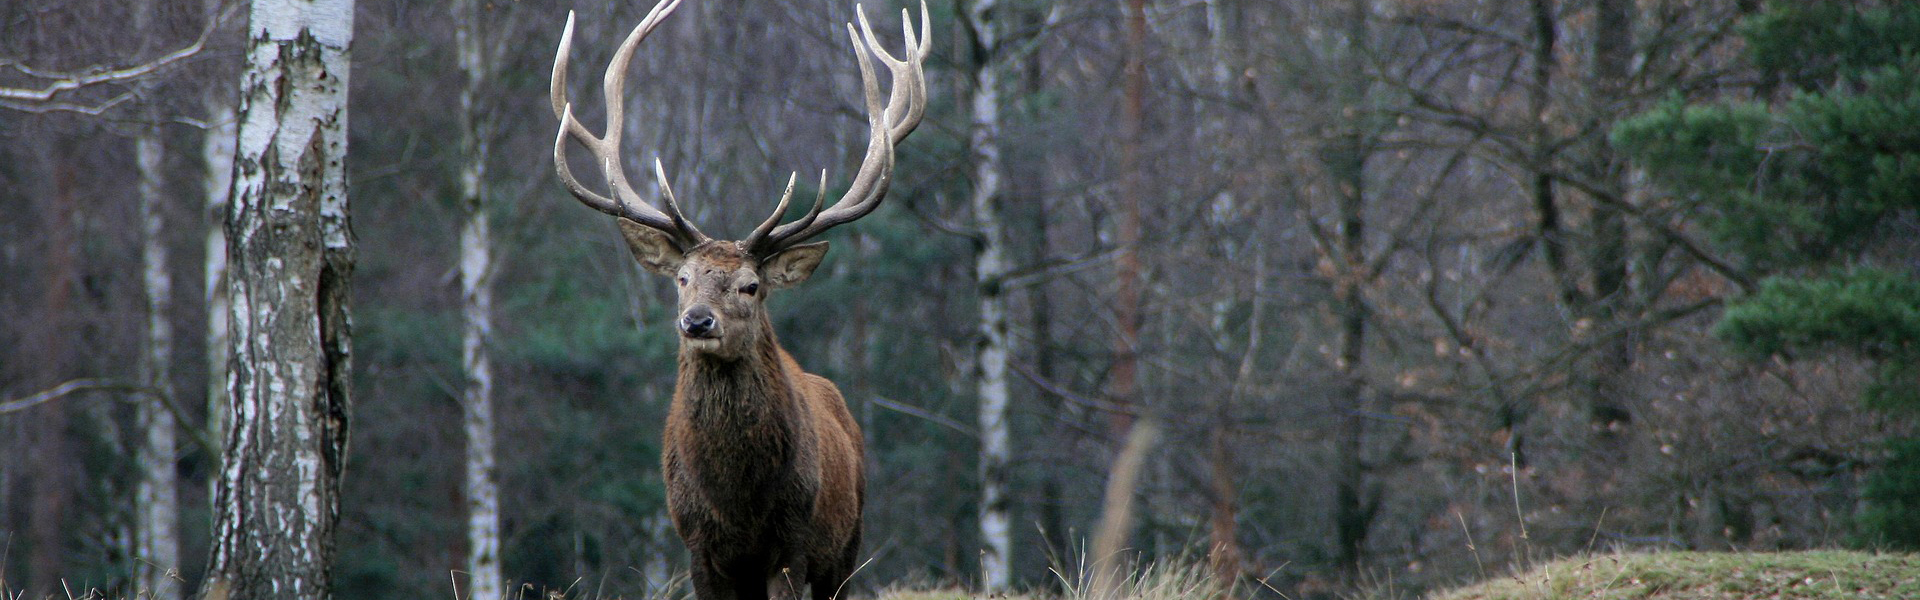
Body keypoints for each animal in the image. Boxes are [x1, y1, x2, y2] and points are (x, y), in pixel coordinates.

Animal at [546, 1, 927, 600]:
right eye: (681, 278)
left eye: (751, 285)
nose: (697, 322)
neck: (737, 504)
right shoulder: (698, 546)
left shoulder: (794, 544)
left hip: (848, 541)